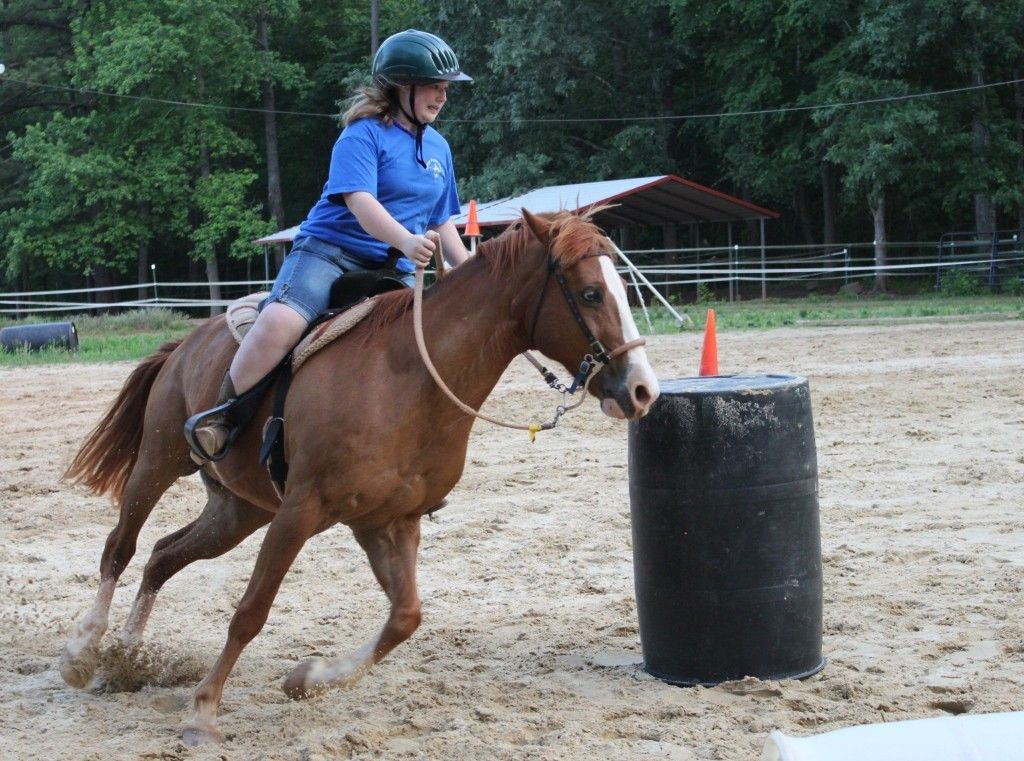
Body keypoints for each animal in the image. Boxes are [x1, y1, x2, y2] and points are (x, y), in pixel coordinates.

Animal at [59, 207, 659, 745]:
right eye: (590, 294)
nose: (642, 390)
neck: (409, 379)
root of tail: (184, 344)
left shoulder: (388, 521)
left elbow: (405, 617)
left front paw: (309, 679)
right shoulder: (301, 511)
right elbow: (251, 612)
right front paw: (203, 712)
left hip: (238, 510)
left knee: (163, 555)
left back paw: (128, 656)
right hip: (160, 461)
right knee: (121, 547)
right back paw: (83, 652)